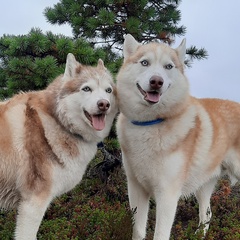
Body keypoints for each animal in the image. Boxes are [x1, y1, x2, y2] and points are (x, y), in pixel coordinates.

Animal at [117, 34, 240, 240]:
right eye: (144, 62)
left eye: (168, 66)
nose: (156, 81)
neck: (150, 123)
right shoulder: (136, 190)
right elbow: (138, 231)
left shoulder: (167, 195)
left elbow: (160, 234)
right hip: (204, 185)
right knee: (207, 215)